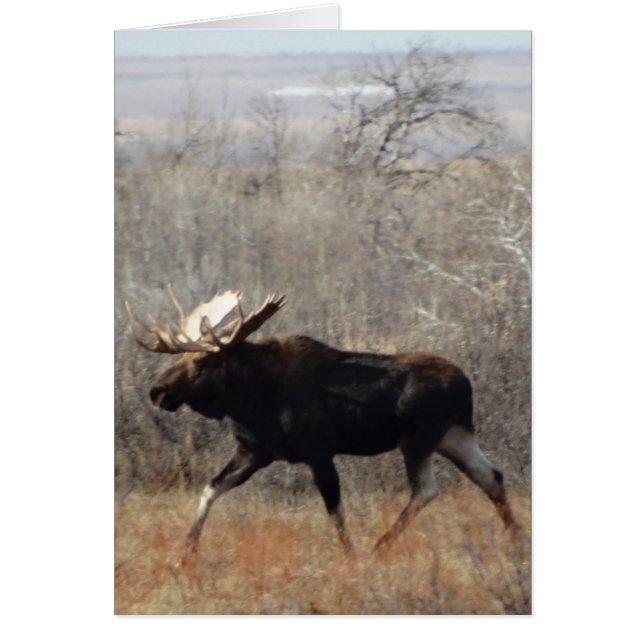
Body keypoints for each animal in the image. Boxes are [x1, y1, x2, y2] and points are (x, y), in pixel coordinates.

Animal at [126, 287, 517, 556]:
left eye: (201, 362)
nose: (158, 391)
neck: (250, 399)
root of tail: (466, 384)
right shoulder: (255, 452)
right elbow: (209, 489)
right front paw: (185, 553)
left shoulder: (318, 452)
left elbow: (335, 512)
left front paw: (351, 557)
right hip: (455, 435)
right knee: (491, 476)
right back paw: (517, 539)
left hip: (419, 439)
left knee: (427, 489)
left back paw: (379, 546)